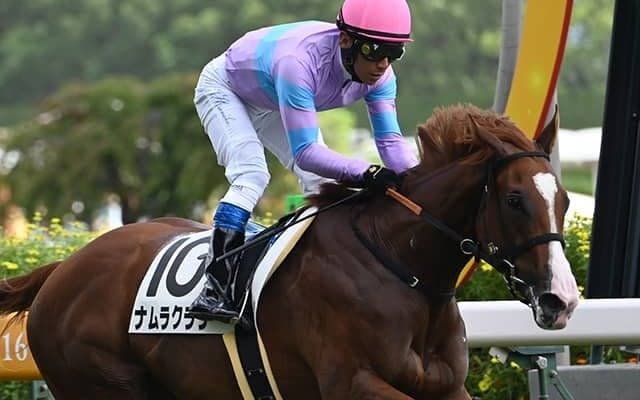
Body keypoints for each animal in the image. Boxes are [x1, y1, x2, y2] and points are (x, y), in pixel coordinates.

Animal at [0, 104, 579, 399]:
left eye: (565, 199)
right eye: (514, 200)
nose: (562, 300)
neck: (401, 268)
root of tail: (64, 268)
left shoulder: (446, 389)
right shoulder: (352, 384)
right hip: (101, 385)